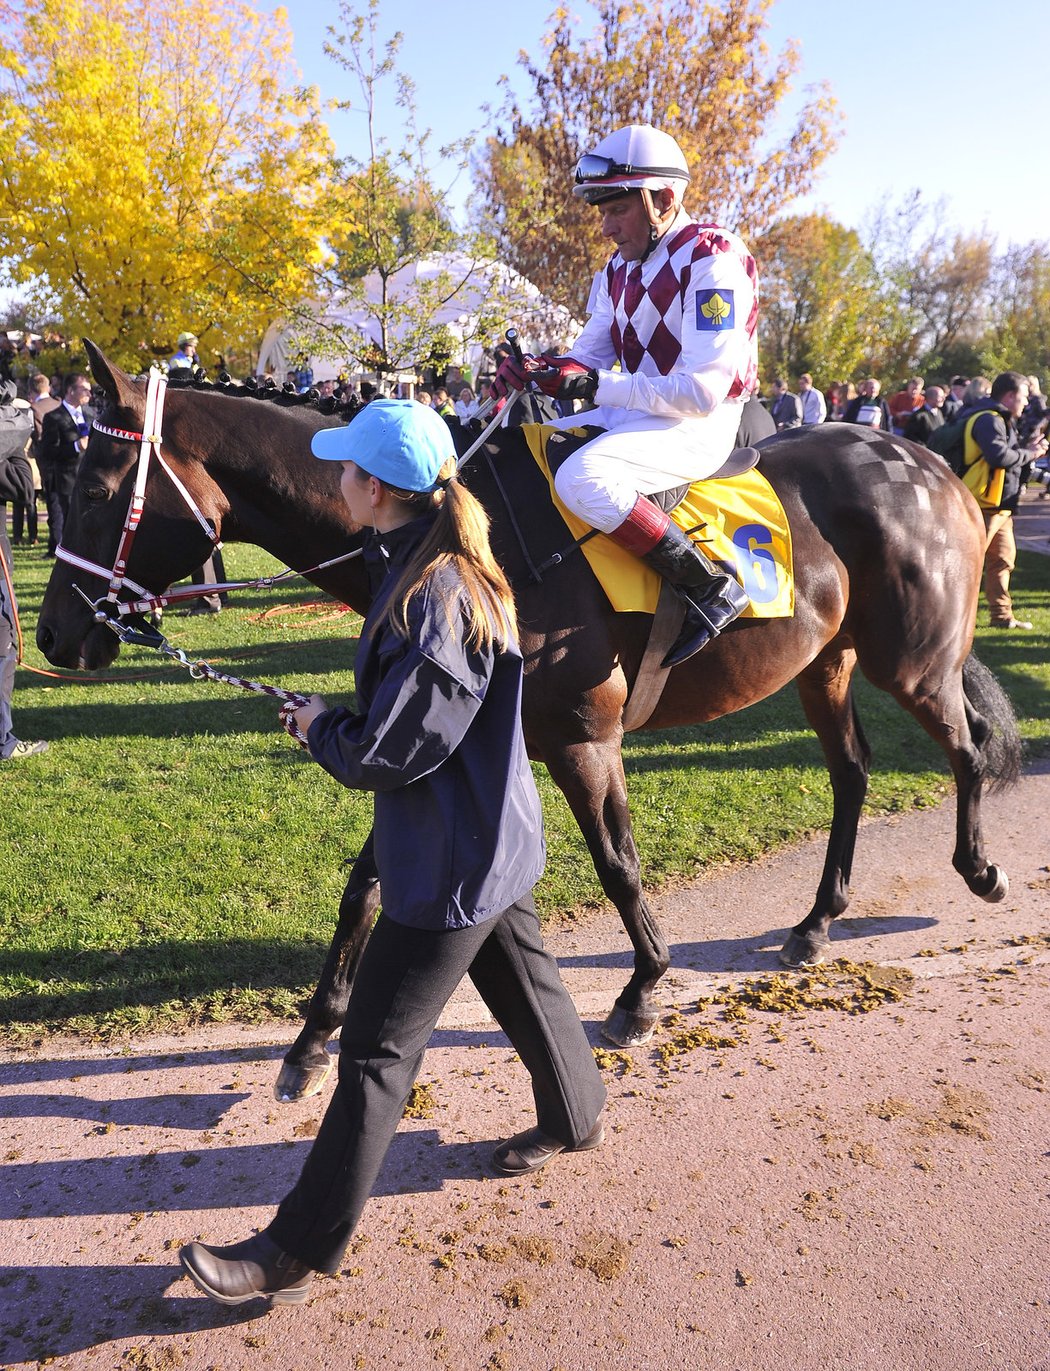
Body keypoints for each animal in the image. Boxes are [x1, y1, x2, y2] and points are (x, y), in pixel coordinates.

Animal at [39, 345, 1019, 1102]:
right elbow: (365, 886)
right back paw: (817, 920)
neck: (462, 542)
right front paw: (311, 1041)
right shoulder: (428, 740)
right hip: (827, 662)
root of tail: (932, 466)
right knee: (852, 772)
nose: (51, 635)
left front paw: (642, 991)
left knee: (966, 750)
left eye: (94, 488)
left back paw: (978, 868)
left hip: (912, 664)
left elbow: (619, 864)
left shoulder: (584, 740)